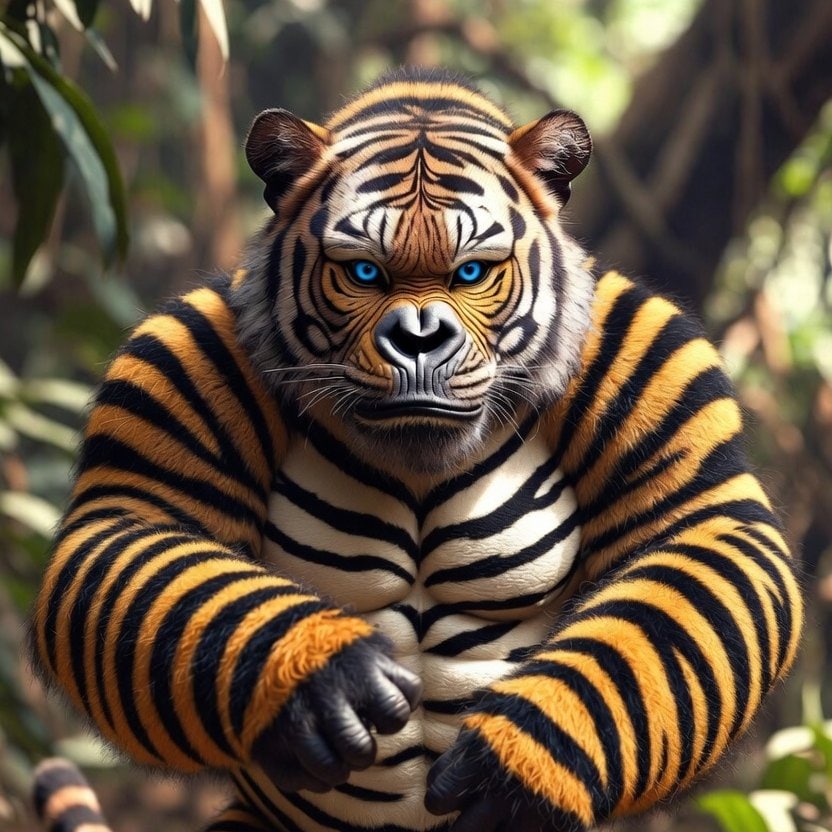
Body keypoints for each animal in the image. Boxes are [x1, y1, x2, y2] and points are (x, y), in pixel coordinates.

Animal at [30, 67, 803, 832]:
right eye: (364, 273)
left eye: (471, 273)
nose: (420, 338)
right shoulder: (160, 427)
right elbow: (148, 540)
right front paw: (324, 680)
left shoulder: (678, 438)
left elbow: (678, 571)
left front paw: (517, 770)